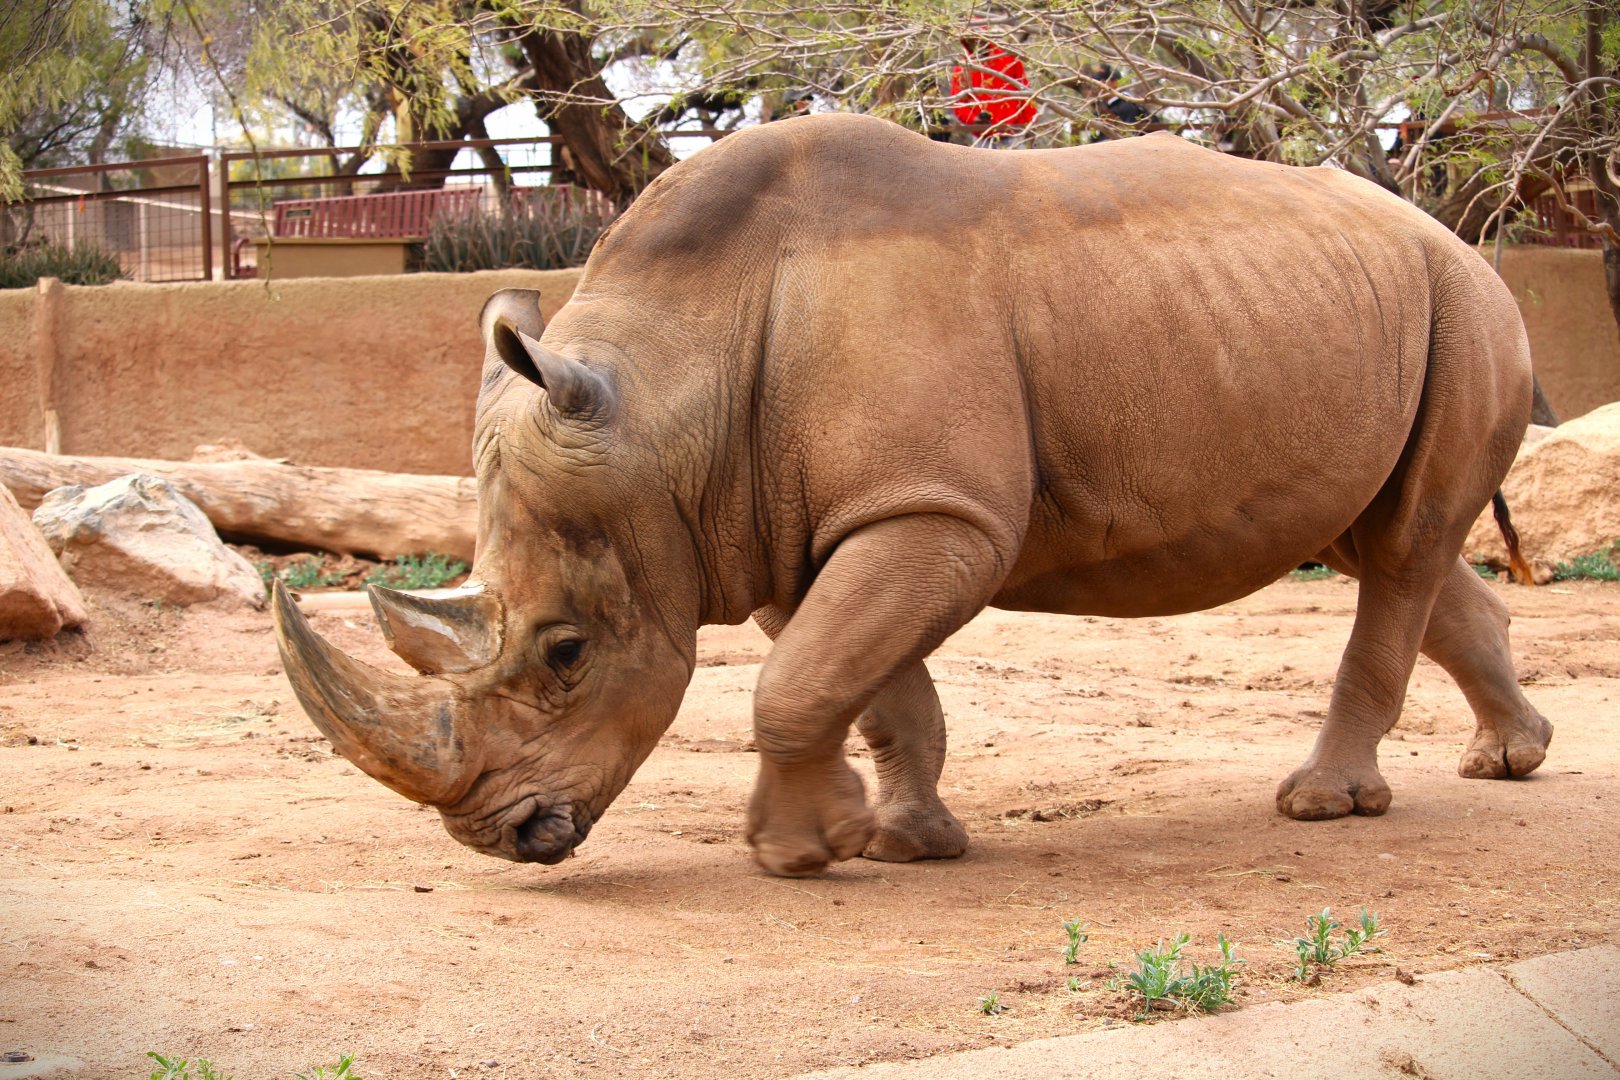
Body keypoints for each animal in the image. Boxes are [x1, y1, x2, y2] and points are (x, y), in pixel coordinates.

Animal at [273, 113, 1551, 878]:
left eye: (567, 654)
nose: (499, 838)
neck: (673, 391)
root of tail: (1454, 234)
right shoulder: (773, 522)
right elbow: (862, 680)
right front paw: (901, 841)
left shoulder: (934, 512)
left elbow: (801, 680)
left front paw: (797, 854)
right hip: (1360, 311)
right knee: (1384, 541)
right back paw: (1509, 761)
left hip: (1466, 303)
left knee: (1398, 549)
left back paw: (1323, 807)